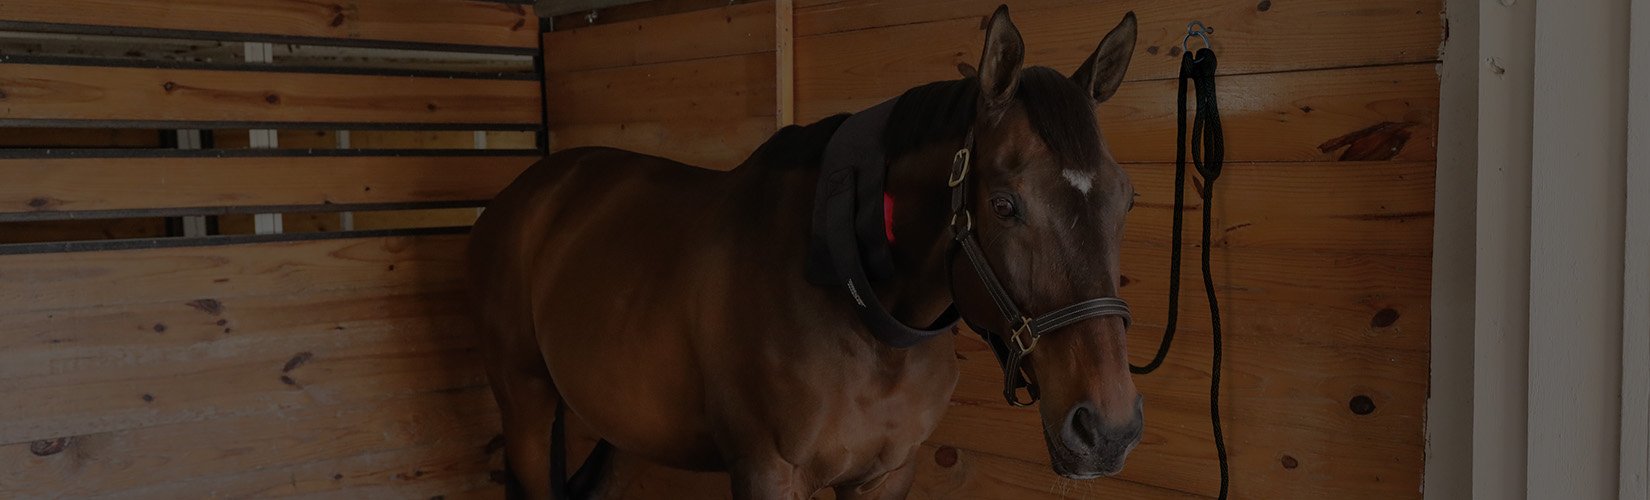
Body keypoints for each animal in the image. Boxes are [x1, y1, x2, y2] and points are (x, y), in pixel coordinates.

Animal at [467, 6, 1141, 498]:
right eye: (1004, 205)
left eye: (1126, 199)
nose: (1108, 429)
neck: (858, 304)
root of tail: (524, 196)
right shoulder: (768, 472)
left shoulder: (887, 475)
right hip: (525, 407)